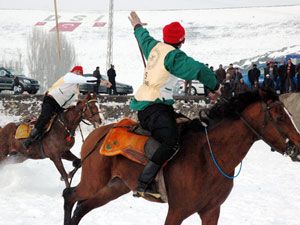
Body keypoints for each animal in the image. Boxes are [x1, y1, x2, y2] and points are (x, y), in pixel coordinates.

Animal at [62, 90, 300, 224]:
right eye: (280, 116)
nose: (297, 146)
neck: (209, 156)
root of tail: (98, 135)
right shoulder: (177, 211)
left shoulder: (211, 211)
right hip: (94, 181)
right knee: (69, 195)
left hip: (114, 186)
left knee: (81, 207)